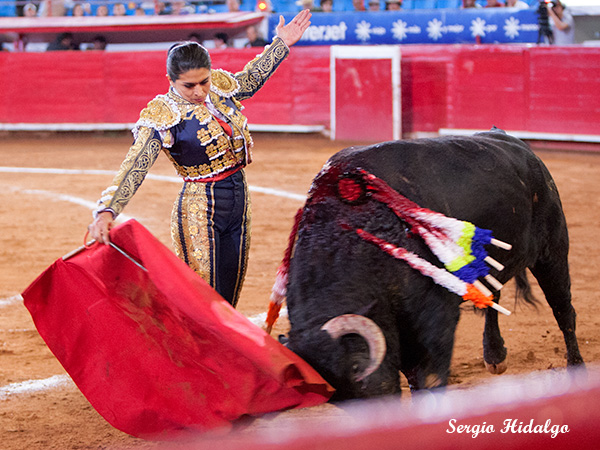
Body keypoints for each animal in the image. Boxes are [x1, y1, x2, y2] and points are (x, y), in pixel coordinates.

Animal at [284, 131, 584, 400]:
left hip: (552, 252)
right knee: (493, 295)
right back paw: (495, 355)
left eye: (361, 375)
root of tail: (519, 145)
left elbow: (428, 378)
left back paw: (576, 369)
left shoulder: (434, 318)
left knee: (563, 310)